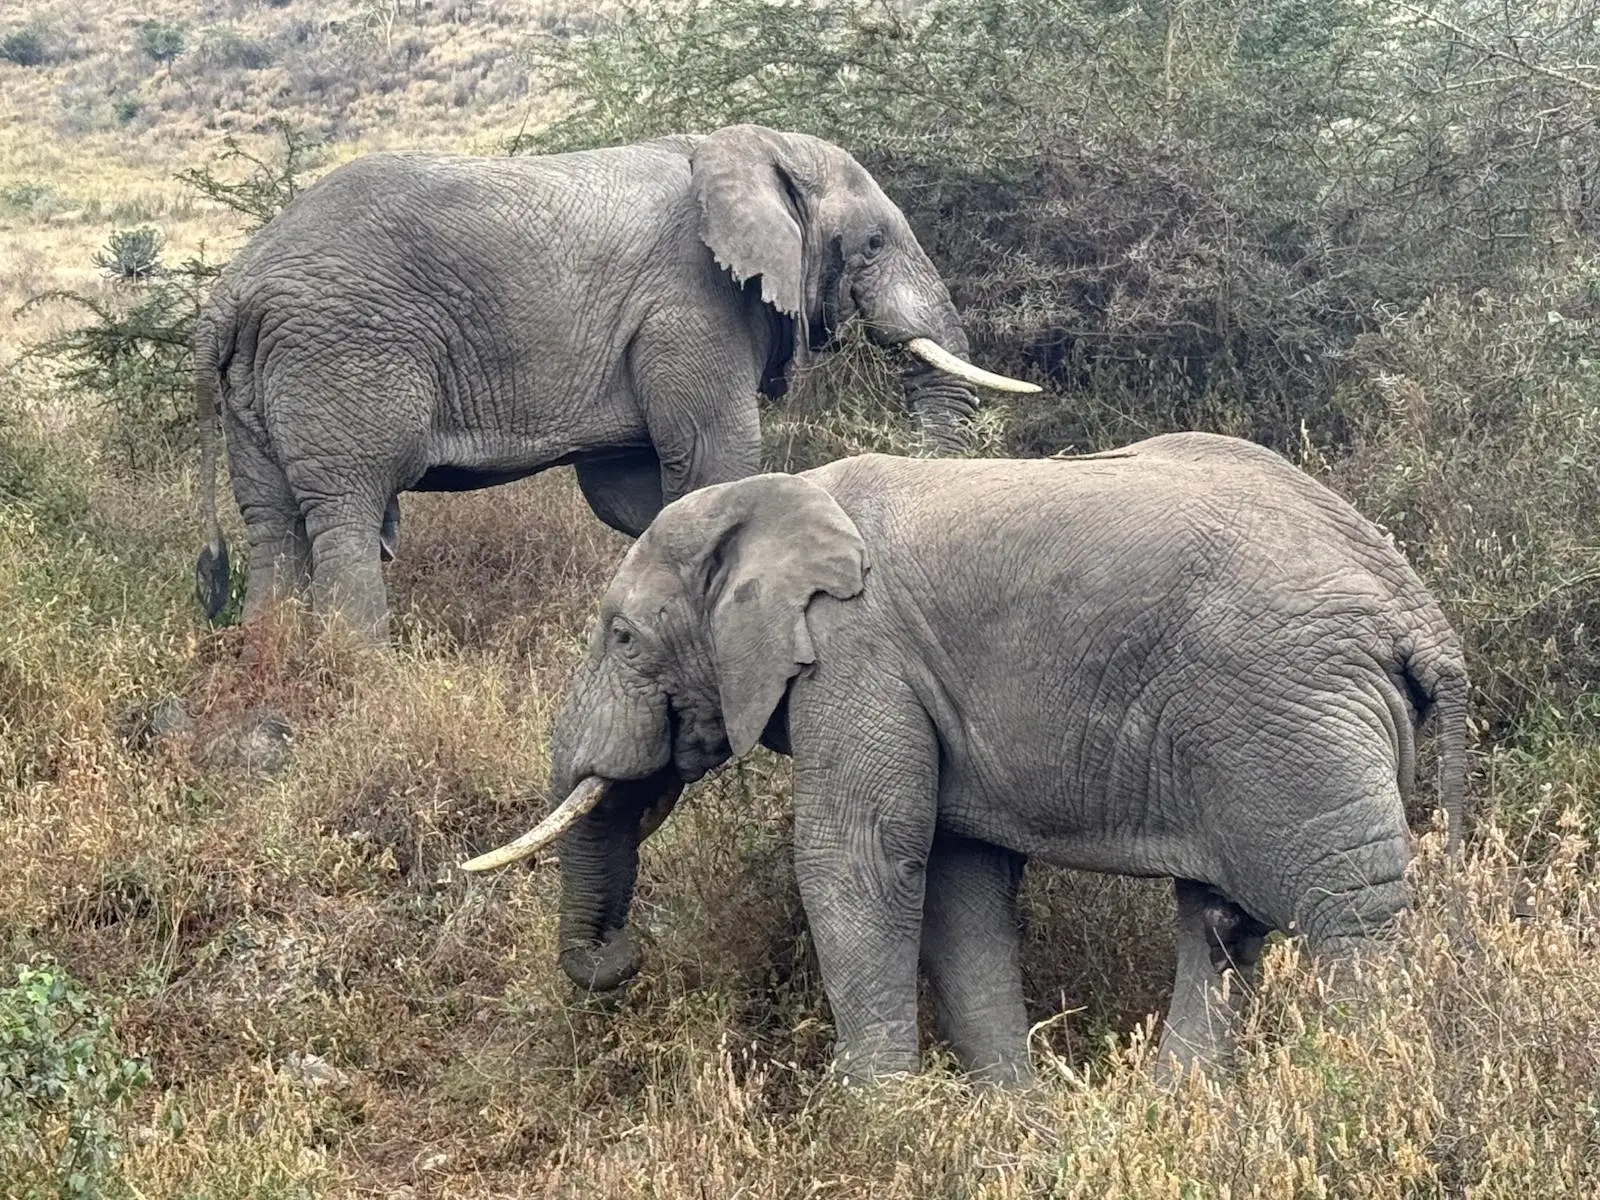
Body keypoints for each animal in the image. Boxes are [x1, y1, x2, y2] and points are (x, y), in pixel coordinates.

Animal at [193, 123, 1036, 637]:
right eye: (870, 244)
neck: (749, 149)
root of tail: (235, 286)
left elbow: (631, 489)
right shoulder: (691, 302)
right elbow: (714, 458)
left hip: (261, 377)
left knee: (272, 520)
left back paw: (272, 657)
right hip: (342, 353)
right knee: (347, 507)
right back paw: (363, 668)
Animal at [462, 432, 1469, 1084]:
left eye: (623, 637)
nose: (626, 955)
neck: (775, 498)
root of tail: (1418, 612)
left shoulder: (857, 653)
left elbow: (859, 860)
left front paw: (873, 1122)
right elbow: (955, 879)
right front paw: (1008, 1117)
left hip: (1290, 711)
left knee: (1349, 917)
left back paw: (1365, 1086)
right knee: (1222, 921)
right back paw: (1180, 1108)